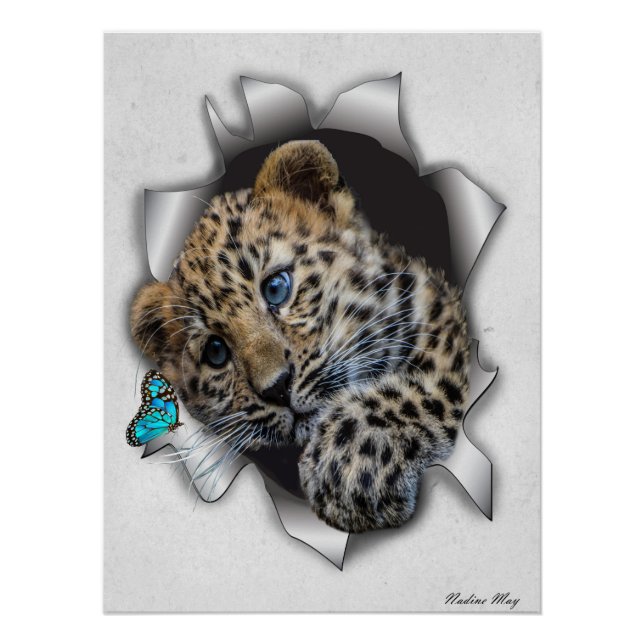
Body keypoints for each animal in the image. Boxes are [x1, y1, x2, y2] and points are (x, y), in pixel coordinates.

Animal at [130, 140, 469, 533]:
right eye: (215, 351)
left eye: (277, 288)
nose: (277, 388)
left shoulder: (436, 315)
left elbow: (423, 386)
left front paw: (349, 463)